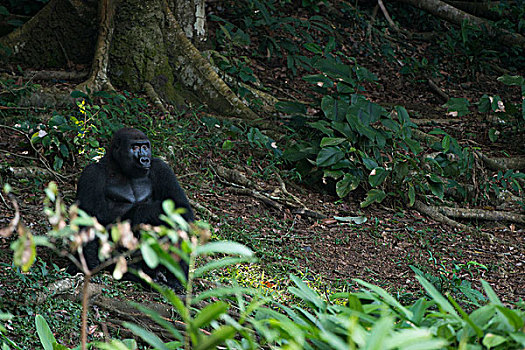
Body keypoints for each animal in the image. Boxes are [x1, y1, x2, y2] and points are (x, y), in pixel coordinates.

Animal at [74, 127, 194, 292]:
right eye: (135, 147)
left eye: (145, 147)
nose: (144, 159)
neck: (118, 167)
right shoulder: (91, 174)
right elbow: (89, 219)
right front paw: (146, 211)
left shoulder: (161, 168)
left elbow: (182, 209)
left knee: (177, 224)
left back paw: (174, 280)